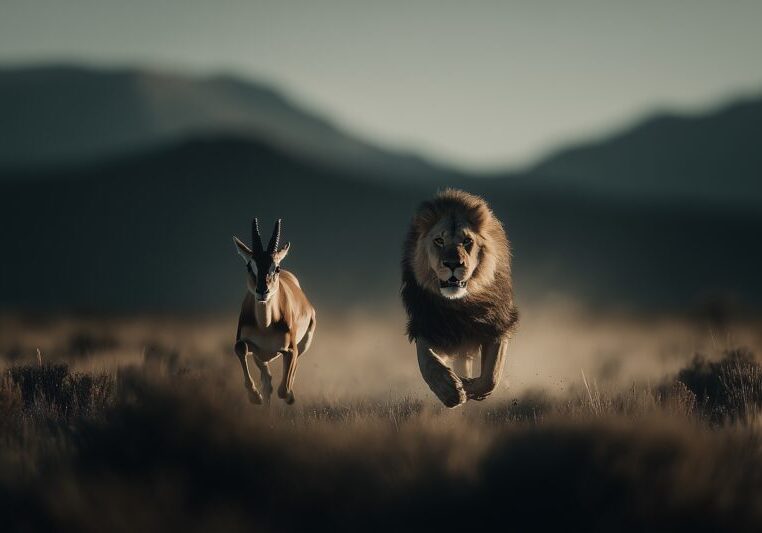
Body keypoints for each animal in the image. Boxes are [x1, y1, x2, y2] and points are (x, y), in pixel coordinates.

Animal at [232, 218, 316, 405]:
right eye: (249, 266)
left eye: (276, 267)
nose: (262, 291)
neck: (265, 326)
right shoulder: (251, 347)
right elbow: (240, 347)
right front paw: (254, 396)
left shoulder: (290, 350)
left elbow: (283, 390)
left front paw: (290, 395)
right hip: (261, 357)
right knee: (268, 382)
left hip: (303, 346)